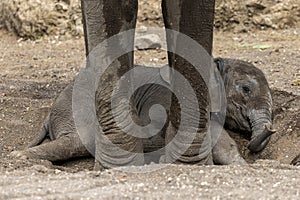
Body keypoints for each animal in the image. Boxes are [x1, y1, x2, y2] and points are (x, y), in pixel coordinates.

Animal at [11, 57, 274, 167]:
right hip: (79, 105)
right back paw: (19, 157)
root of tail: (50, 113)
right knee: (78, 140)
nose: (271, 129)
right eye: (246, 89)